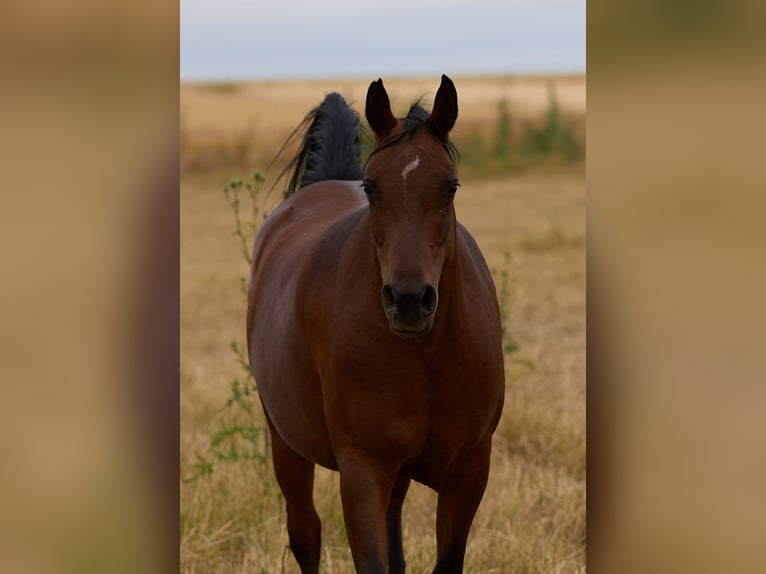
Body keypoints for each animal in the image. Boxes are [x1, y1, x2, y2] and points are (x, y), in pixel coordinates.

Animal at [249, 76, 508, 574]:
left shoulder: (469, 471)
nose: (408, 301)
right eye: (370, 188)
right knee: (305, 533)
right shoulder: (362, 471)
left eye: (450, 186)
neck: (425, 356)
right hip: (286, 444)